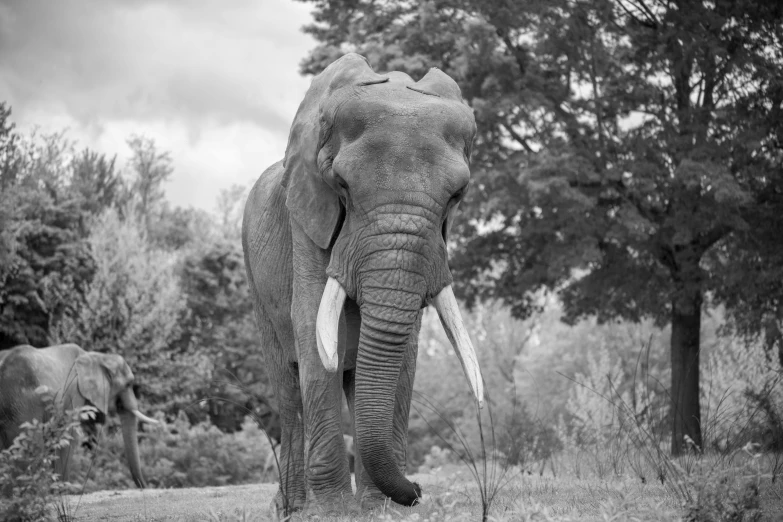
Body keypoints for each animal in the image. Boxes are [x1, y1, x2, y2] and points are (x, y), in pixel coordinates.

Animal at [0, 344, 158, 486]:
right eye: (128, 384)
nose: (144, 486)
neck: (96, 356)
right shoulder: (74, 392)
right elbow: (69, 435)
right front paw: (60, 490)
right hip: (24, 403)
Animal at [242, 53, 484, 512]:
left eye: (458, 195)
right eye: (342, 186)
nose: (418, 490)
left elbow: (404, 351)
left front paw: (377, 508)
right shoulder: (307, 217)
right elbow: (311, 326)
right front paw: (334, 510)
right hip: (255, 285)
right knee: (288, 386)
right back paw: (293, 509)